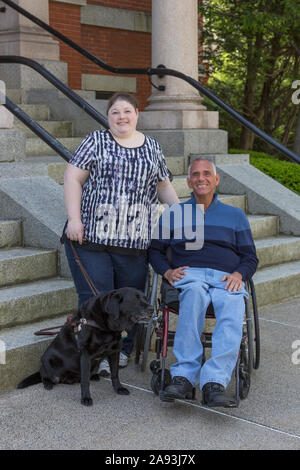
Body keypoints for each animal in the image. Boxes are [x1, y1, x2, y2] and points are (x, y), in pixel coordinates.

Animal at [17, 284, 152, 406]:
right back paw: (48, 383)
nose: (152, 308)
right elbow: (85, 380)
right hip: (47, 359)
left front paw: (119, 388)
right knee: (43, 375)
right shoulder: (86, 355)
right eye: (136, 299)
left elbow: (115, 374)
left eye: (146, 298)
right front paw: (86, 398)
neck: (106, 325)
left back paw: (94, 376)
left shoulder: (115, 351)